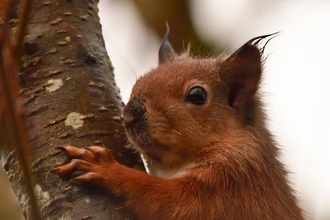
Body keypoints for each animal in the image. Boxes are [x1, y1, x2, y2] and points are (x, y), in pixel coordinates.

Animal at [53, 26, 304, 219]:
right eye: (139, 81)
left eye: (197, 95)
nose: (130, 115)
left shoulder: (232, 184)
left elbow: (165, 199)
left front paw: (104, 168)